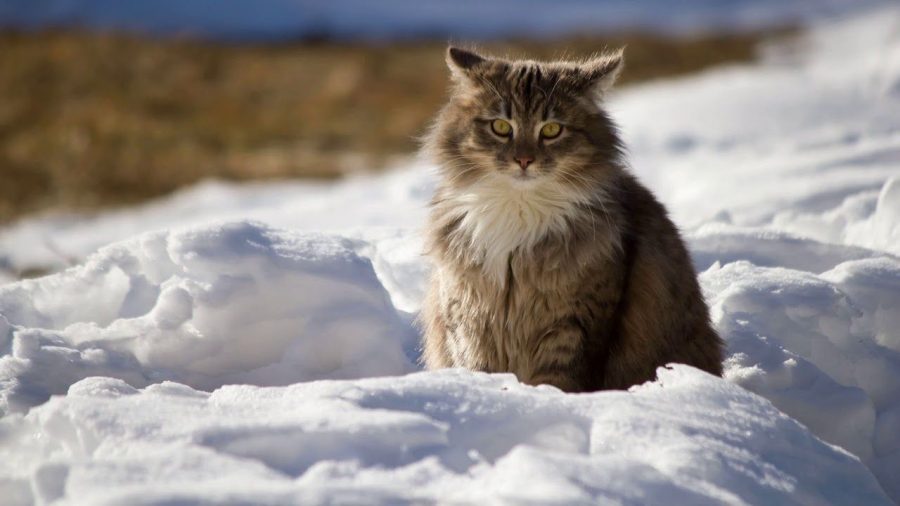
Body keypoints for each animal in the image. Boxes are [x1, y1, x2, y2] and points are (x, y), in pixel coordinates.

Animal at [418, 46, 720, 392]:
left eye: (551, 130)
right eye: (501, 127)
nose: (524, 160)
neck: (519, 209)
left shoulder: (574, 324)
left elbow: (558, 381)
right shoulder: (468, 318)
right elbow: (478, 368)